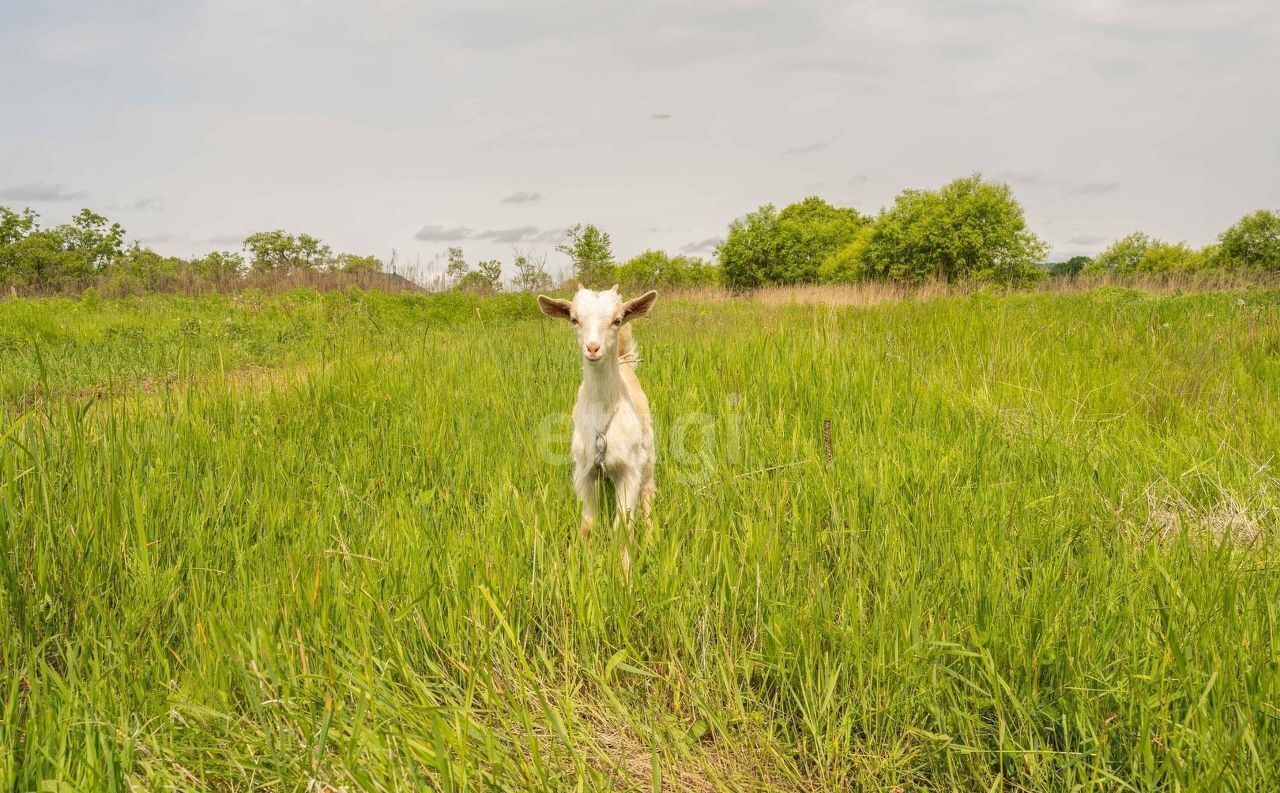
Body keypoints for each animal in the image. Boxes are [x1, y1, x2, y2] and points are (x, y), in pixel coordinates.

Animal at [540, 287, 660, 547]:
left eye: (617, 320)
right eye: (574, 319)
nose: (593, 348)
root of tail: (625, 363)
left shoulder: (630, 469)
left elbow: (623, 527)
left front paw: (625, 559)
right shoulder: (584, 470)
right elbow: (588, 525)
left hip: (648, 453)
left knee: (648, 491)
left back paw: (651, 537)